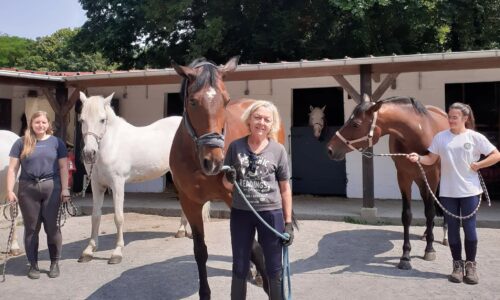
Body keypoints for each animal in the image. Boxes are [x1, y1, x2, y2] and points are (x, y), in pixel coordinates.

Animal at [78, 92, 197, 264]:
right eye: (82, 120)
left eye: (102, 120)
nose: (89, 154)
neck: (112, 144)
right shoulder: (96, 185)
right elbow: (95, 216)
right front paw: (89, 250)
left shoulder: (117, 184)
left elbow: (118, 217)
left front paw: (117, 253)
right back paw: (181, 230)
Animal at [170, 57, 286, 298]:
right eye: (193, 101)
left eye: (226, 101)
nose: (213, 160)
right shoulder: (190, 203)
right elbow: (200, 250)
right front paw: (205, 293)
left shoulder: (237, 198)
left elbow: (254, 247)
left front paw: (270, 286)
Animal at [326, 95, 448, 270]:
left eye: (355, 124)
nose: (330, 149)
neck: (419, 134)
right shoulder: (404, 176)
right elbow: (407, 215)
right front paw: (405, 256)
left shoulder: (433, 176)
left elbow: (430, 212)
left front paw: (430, 250)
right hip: (419, 179)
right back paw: (426, 234)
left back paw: (444, 236)